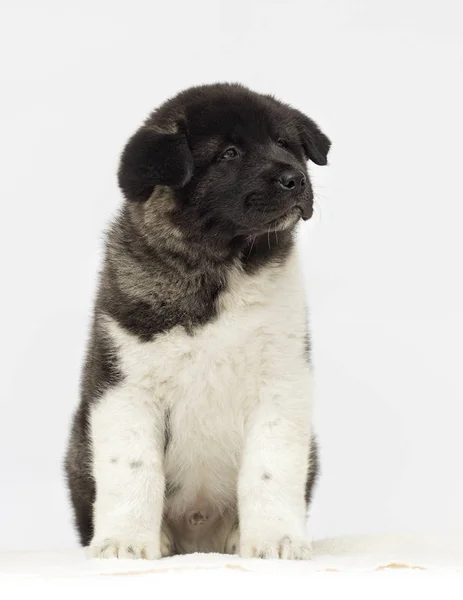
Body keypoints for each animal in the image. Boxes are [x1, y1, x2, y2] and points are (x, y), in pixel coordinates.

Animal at [65, 82, 330, 560]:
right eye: (229, 154)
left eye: (286, 144)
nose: (295, 180)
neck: (218, 267)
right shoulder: (125, 387)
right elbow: (132, 468)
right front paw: (126, 542)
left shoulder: (282, 382)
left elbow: (271, 467)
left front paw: (276, 539)